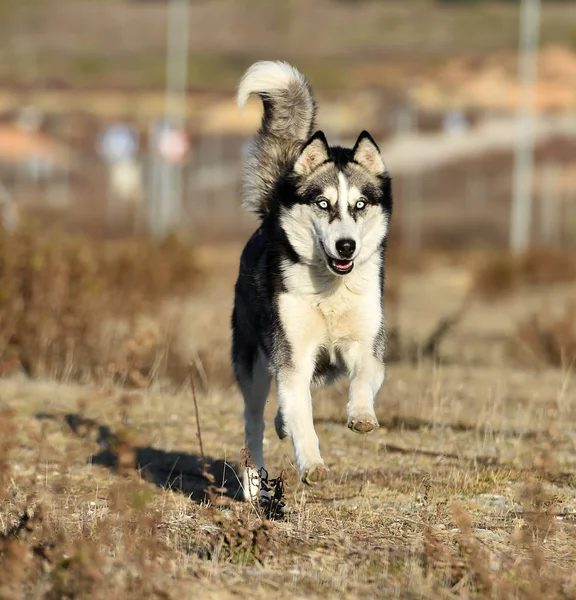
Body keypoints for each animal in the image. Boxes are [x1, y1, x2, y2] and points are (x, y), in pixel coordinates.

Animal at [232, 62, 394, 502]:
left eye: (359, 205)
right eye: (323, 203)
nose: (346, 245)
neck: (329, 291)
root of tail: (272, 210)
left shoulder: (364, 343)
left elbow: (364, 378)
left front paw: (361, 415)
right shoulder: (293, 354)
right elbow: (301, 412)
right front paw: (313, 465)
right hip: (254, 361)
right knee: (254, 420)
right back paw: (253, 484)